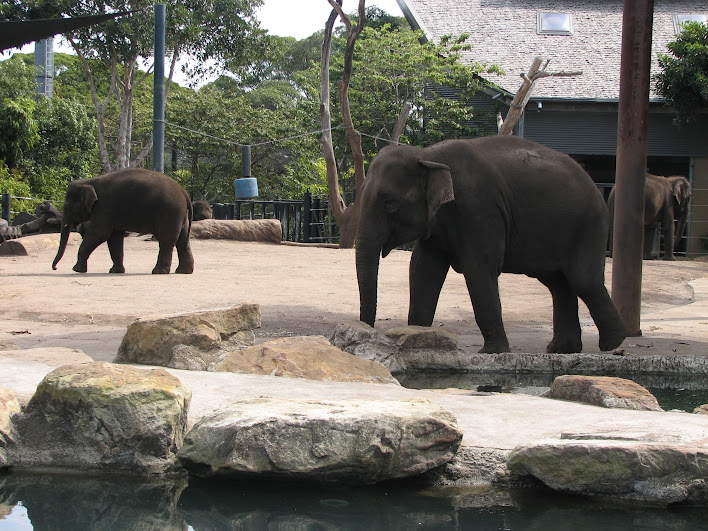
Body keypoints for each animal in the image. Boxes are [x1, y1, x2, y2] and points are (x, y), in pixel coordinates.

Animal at [52, 168, 194, 274]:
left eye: (68, 206)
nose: (55, 268)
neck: (90, 181)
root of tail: (184, 193)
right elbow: (114, 237)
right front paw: (115, 271)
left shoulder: (104, 206)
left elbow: (100, 233)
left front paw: (76, 270)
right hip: (180, 215)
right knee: (182, 240)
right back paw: (183, 271)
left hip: (169, 212)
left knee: (166, 240)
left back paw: (158, 272)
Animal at [355, 135, 627, 354]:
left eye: (389, 203)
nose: (367, 334)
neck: (427, 156)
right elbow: (423, 270)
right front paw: (418, 338)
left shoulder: (480, 208)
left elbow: (479, 270)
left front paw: (492, 352)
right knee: (558, 283)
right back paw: (562, 349)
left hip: (589, 223)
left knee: (583, 280)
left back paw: (613, 344)